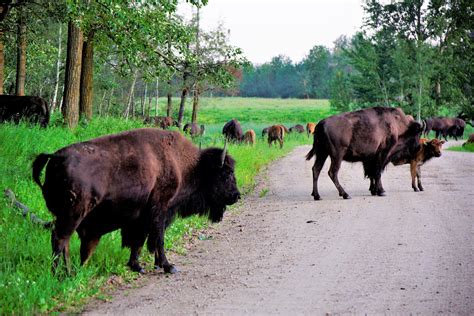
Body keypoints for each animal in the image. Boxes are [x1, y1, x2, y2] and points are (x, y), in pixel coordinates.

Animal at [32, 128, 241, 274]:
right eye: (226, 173)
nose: (237, 196)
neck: (186, 165)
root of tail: (56, 156)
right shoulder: (160, 208)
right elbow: (158, 238)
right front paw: (168, 266)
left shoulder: (142, 216)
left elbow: (140, 241)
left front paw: (138, 266)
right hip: (73, 214)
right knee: (60, 239)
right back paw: (62, 274)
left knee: (63, 241)